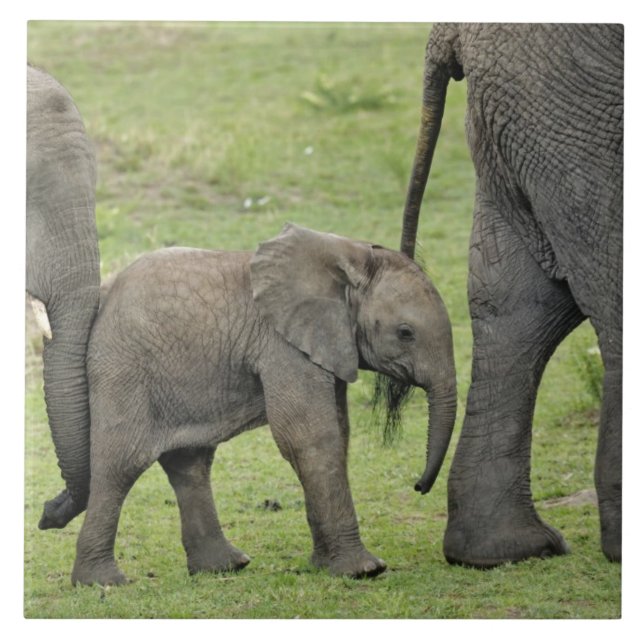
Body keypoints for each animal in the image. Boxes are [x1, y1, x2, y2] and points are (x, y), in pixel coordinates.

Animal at [70, 224, 457, 586]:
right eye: (405, 333)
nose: (419, 486)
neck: (347, 256)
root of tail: (105, 294)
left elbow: (338, 432)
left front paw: (324, 565)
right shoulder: (283, 345)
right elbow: (308, 436)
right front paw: (364, 570)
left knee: (189, 461)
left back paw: (224, 567)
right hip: (124, 368)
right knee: (123, 463)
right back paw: (102, 582)